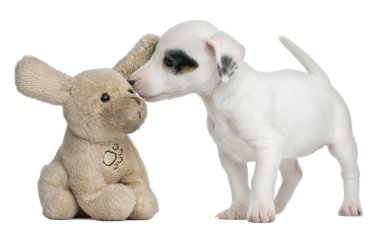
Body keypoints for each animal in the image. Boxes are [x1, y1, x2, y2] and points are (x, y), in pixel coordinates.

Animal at [127, 20, 362, 223]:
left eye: (169, 61)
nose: (130, 81)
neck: (224, 99)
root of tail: (321, 81)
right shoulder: (229, 156)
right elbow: (238, 186)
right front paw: (238, 210)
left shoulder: (267, 148)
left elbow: (258, 180)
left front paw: (259, 210)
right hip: (286, 151)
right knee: (294, 174)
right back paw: (277, 204)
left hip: (341, 144)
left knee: (350, 173)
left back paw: (350, 205)